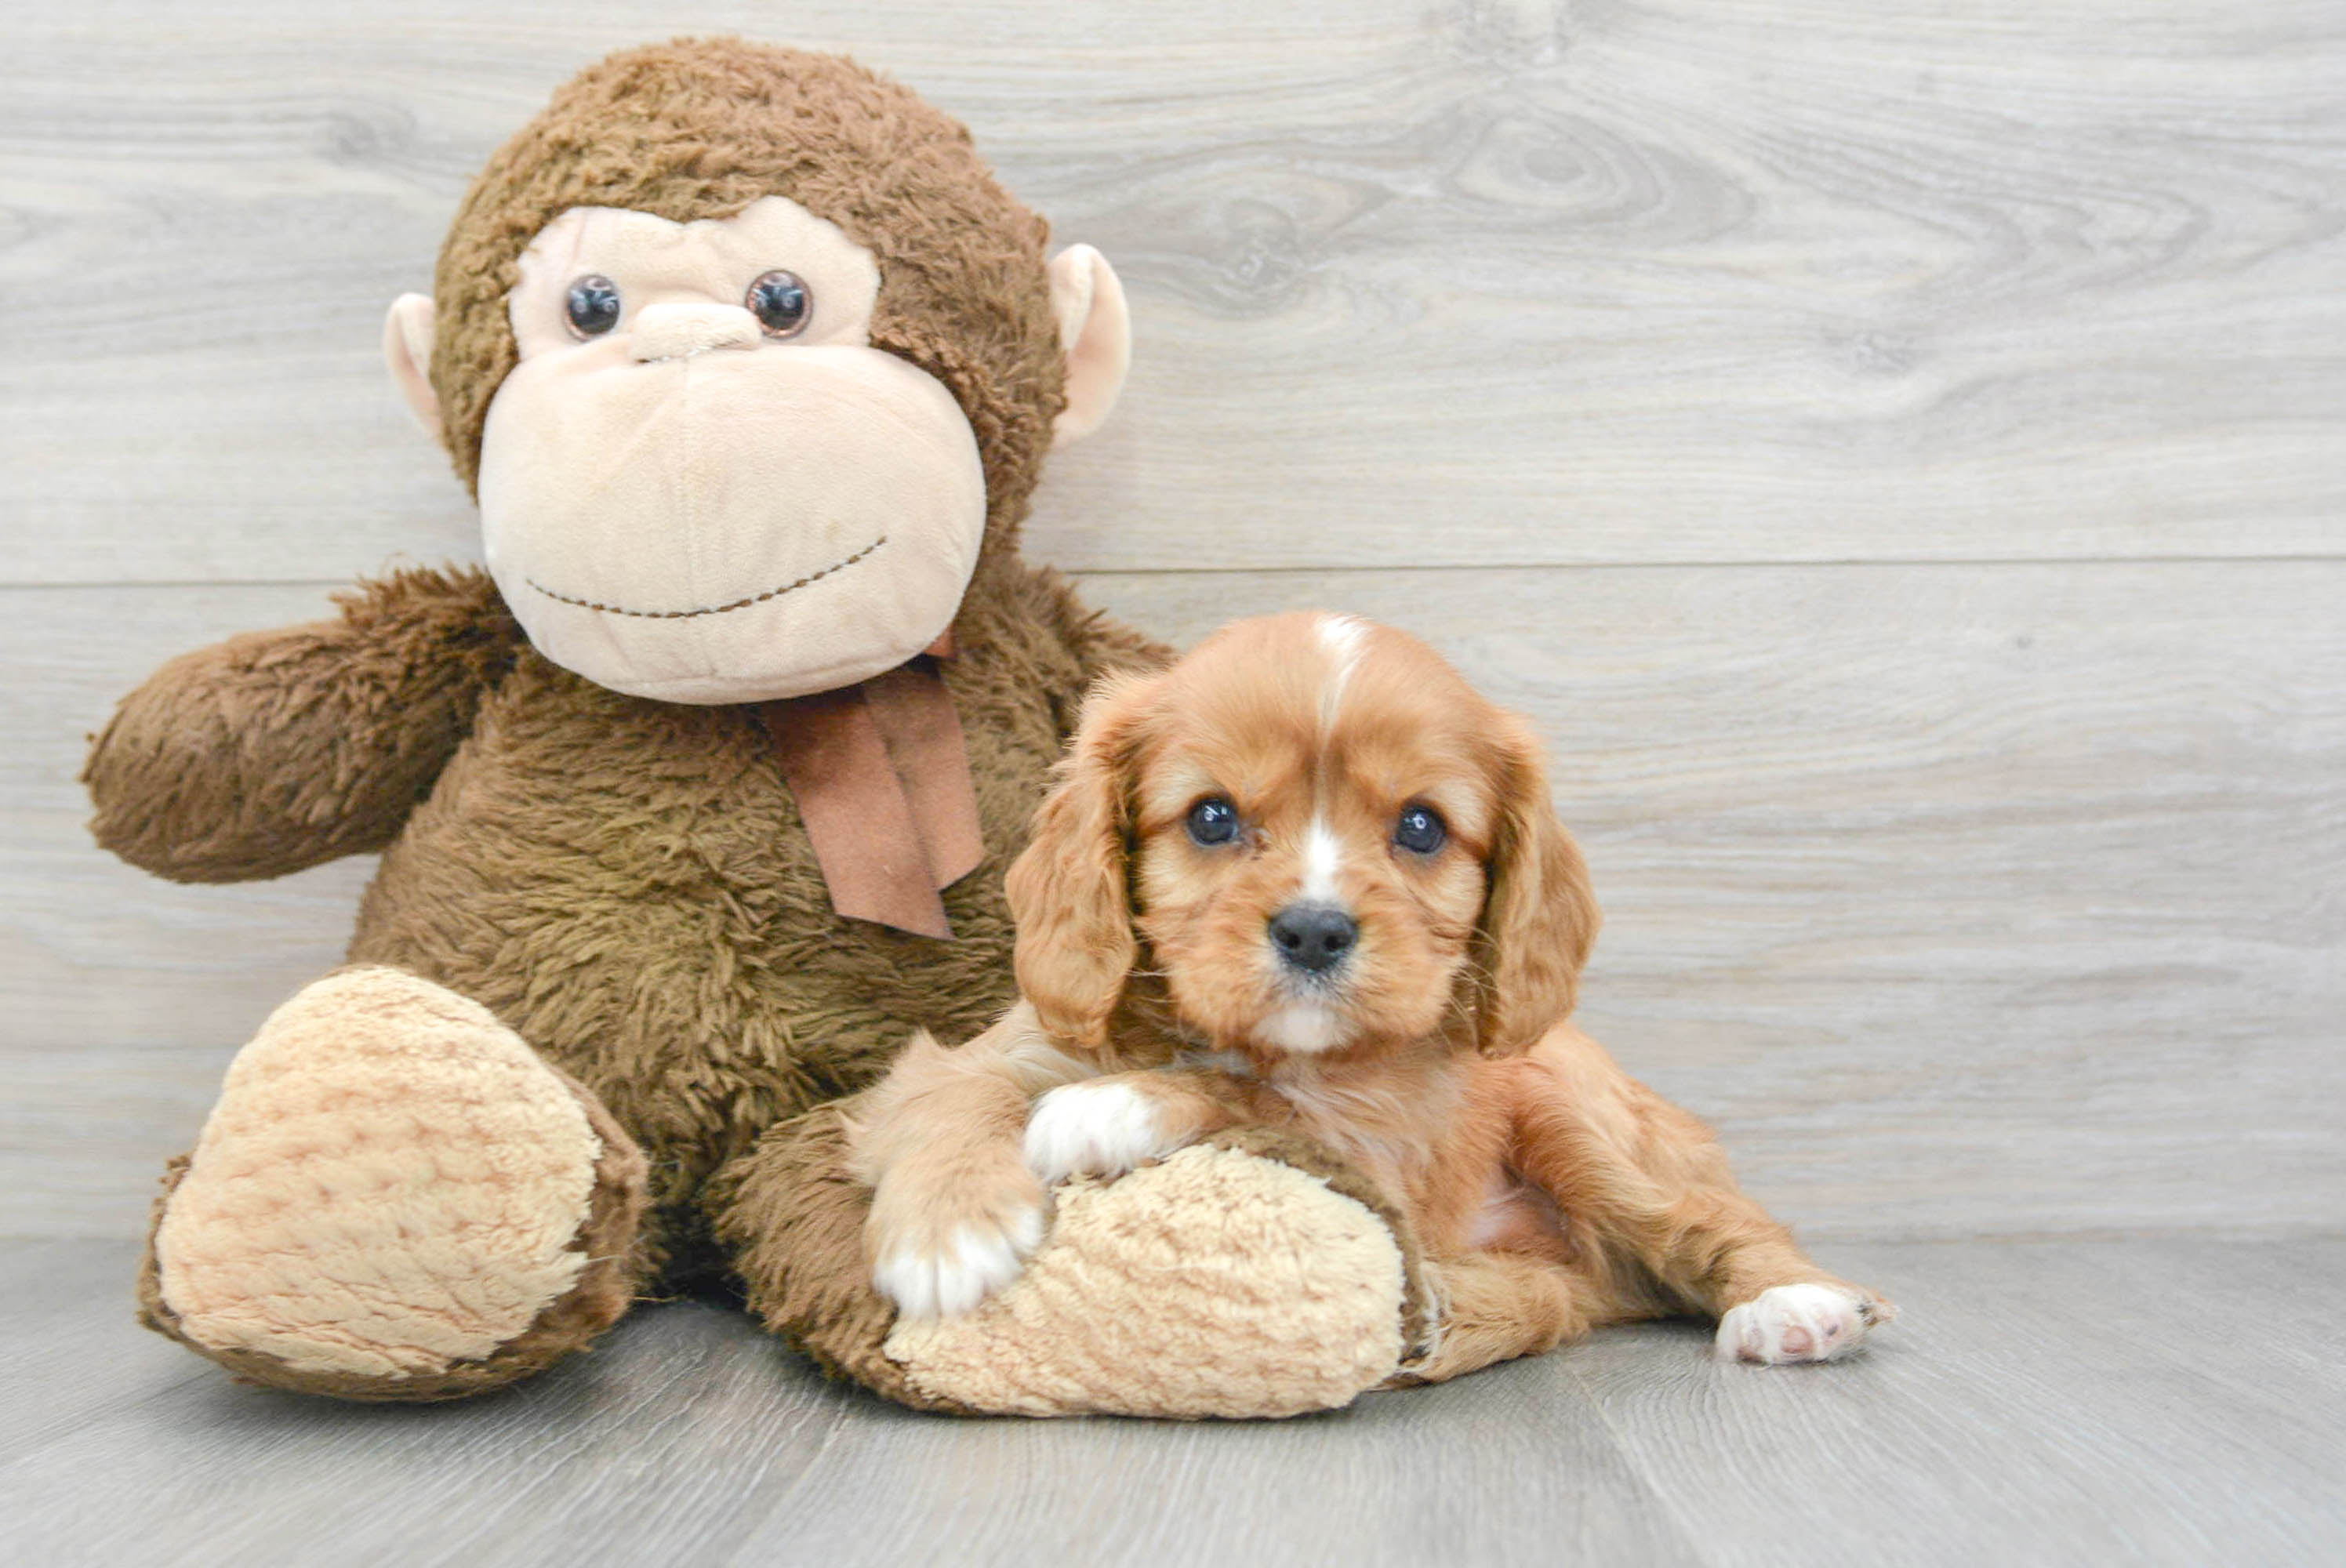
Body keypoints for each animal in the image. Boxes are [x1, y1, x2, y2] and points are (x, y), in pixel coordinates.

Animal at [854, 610, 1895, 1370]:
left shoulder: (1383, 1139)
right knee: (1555, 1296)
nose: (1315, 930)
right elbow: (957, 1093)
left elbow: (1261, 1096)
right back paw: (1442, 1309)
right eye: (1212, 816)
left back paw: (1791, 1302)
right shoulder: (995, 1049)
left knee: (1702, 1222)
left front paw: (1113, 1106)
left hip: (1570, 1113)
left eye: (1422, 827)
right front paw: (948, 1232)